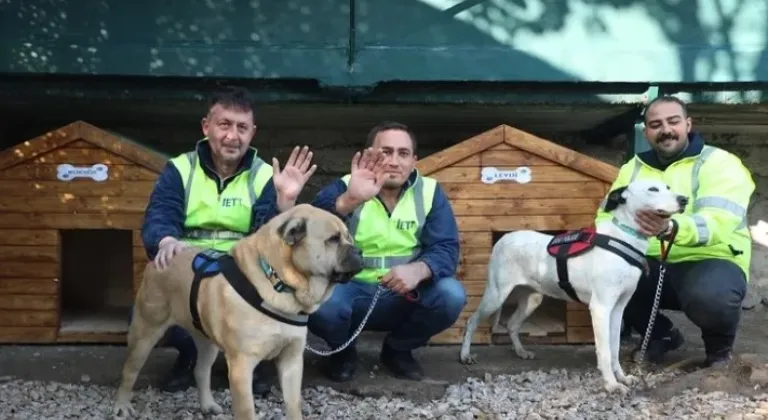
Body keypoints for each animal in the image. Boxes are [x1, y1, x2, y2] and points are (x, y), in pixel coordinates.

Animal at [109, 204, 368, 420]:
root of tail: (159, 259)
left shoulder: (292, 360)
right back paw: (121, 406)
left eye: (349, 237)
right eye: (333, 239)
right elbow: (247, 412)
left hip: (206, 340)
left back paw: (207, 405)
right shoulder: (242, 367)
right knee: (129, 371)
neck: (279, 280)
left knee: (201, 370)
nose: (360, 251)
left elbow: (293, 405)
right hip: (145, 333)